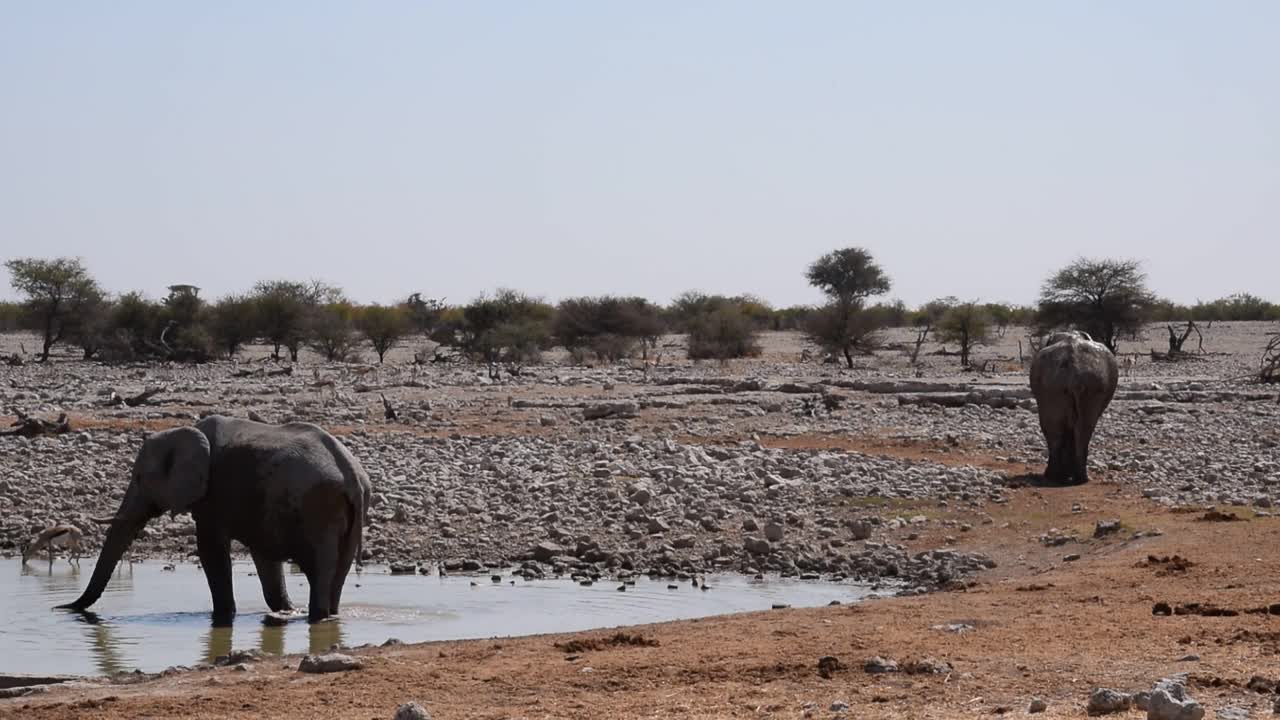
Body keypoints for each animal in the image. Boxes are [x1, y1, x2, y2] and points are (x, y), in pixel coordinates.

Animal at [61, 415, 371, 622]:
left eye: (138, 478)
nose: (61, 608)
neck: (185, 432)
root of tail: (353, 476)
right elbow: (265, 559)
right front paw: (284, 610)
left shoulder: (212, 497)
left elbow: (211, 551)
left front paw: (222, 617)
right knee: (338, 573)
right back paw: (327, 616)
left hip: (319, 508)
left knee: (321, 568)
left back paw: (317, 617)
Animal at [1024, 330, 1116, 481]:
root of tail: (1075, 372)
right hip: (1083, 385)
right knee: (1082, 428)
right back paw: (1078, 477)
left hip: (1059, 386)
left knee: (1055, 429)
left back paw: (1055, 476)